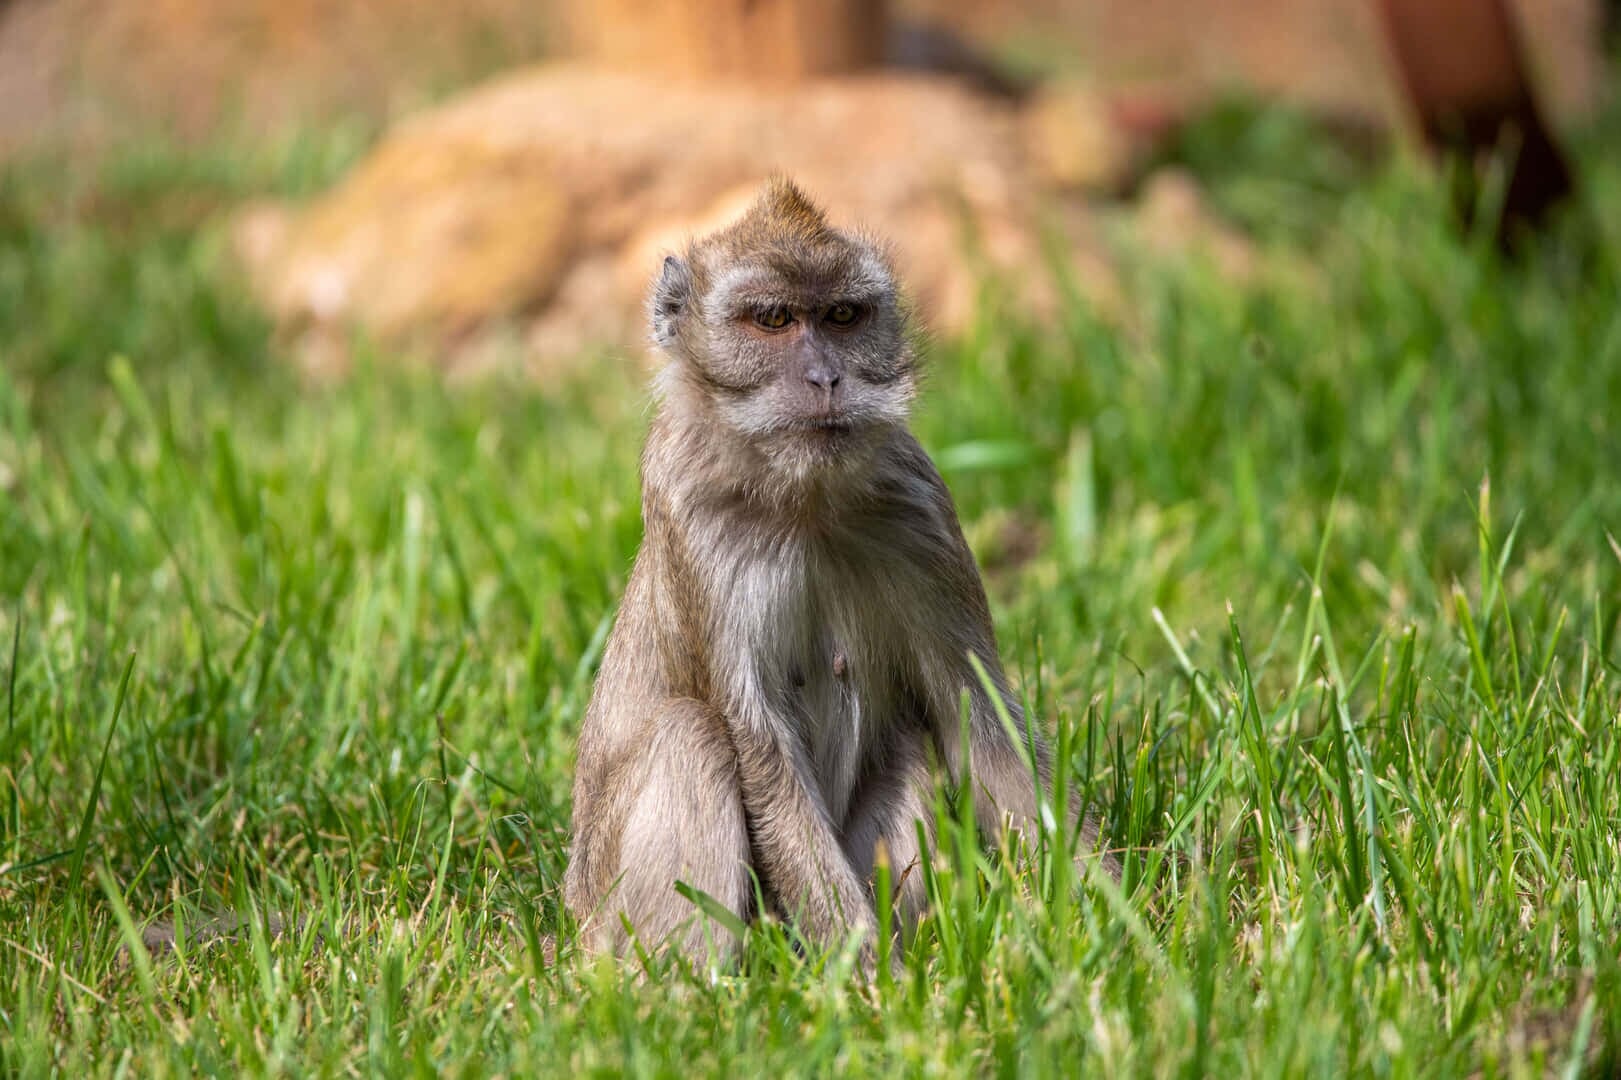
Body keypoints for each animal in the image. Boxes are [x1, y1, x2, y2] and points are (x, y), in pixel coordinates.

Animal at [563, 177, 1115, 974]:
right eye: (772, 319)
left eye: (844, 316)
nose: (826, 377)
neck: (804, 500)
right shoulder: (689, 513)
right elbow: (759, 749)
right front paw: (872, 985)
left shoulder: (921, 509)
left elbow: (981, 727)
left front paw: (1119, 920)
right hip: (606, 922)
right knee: (691, 735)